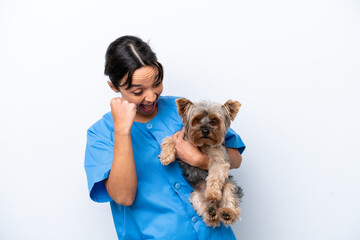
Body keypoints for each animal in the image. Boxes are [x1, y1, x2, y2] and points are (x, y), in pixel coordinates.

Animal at [159, 97, 243, 227]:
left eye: (214, 120)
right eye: (197, 119)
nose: (205, 130)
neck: (202, 144)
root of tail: (217, 207)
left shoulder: (219, 158)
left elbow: (215, 176)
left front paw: (212, 193)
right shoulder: (180, 139)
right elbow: (170, 140)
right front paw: (166, 156)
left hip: (230, 185)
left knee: (230, 199)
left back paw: (227, 213)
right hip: (195, 195)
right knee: (205, 210)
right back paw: (211, 213)